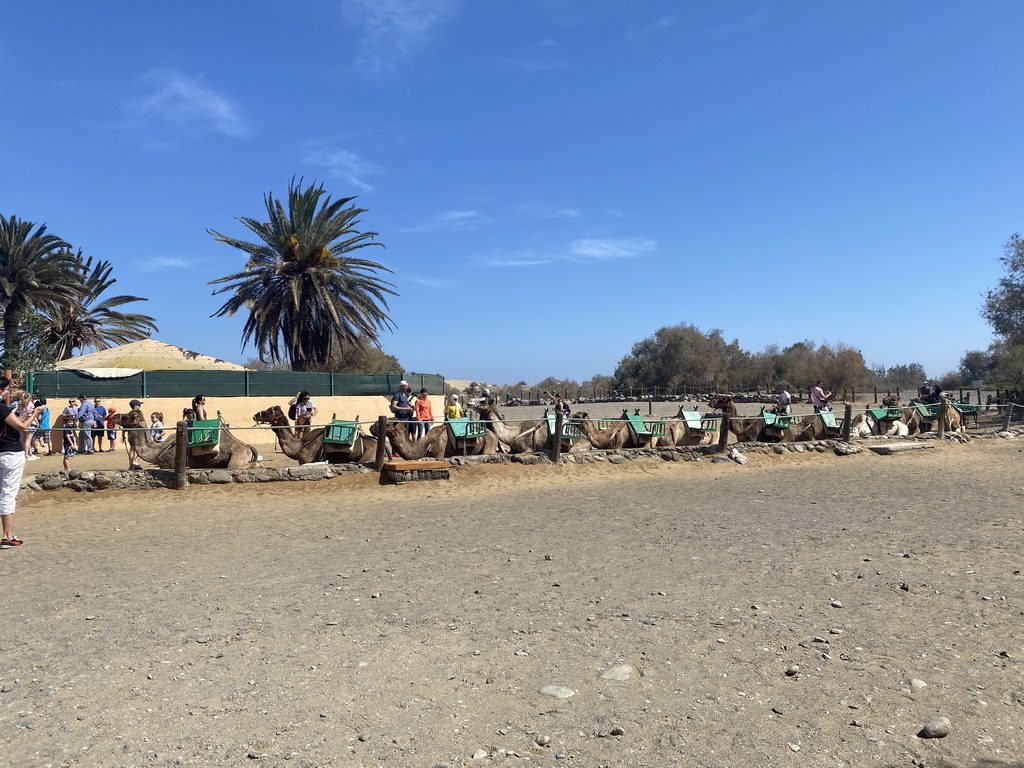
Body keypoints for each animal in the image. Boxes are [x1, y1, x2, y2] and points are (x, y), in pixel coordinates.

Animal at [119, 411, 260, 473]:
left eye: (127, 416)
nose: (115, 416)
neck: (158, 450)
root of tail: (248, 447)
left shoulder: (167, 464)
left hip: (238, 455)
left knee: (235, 466)